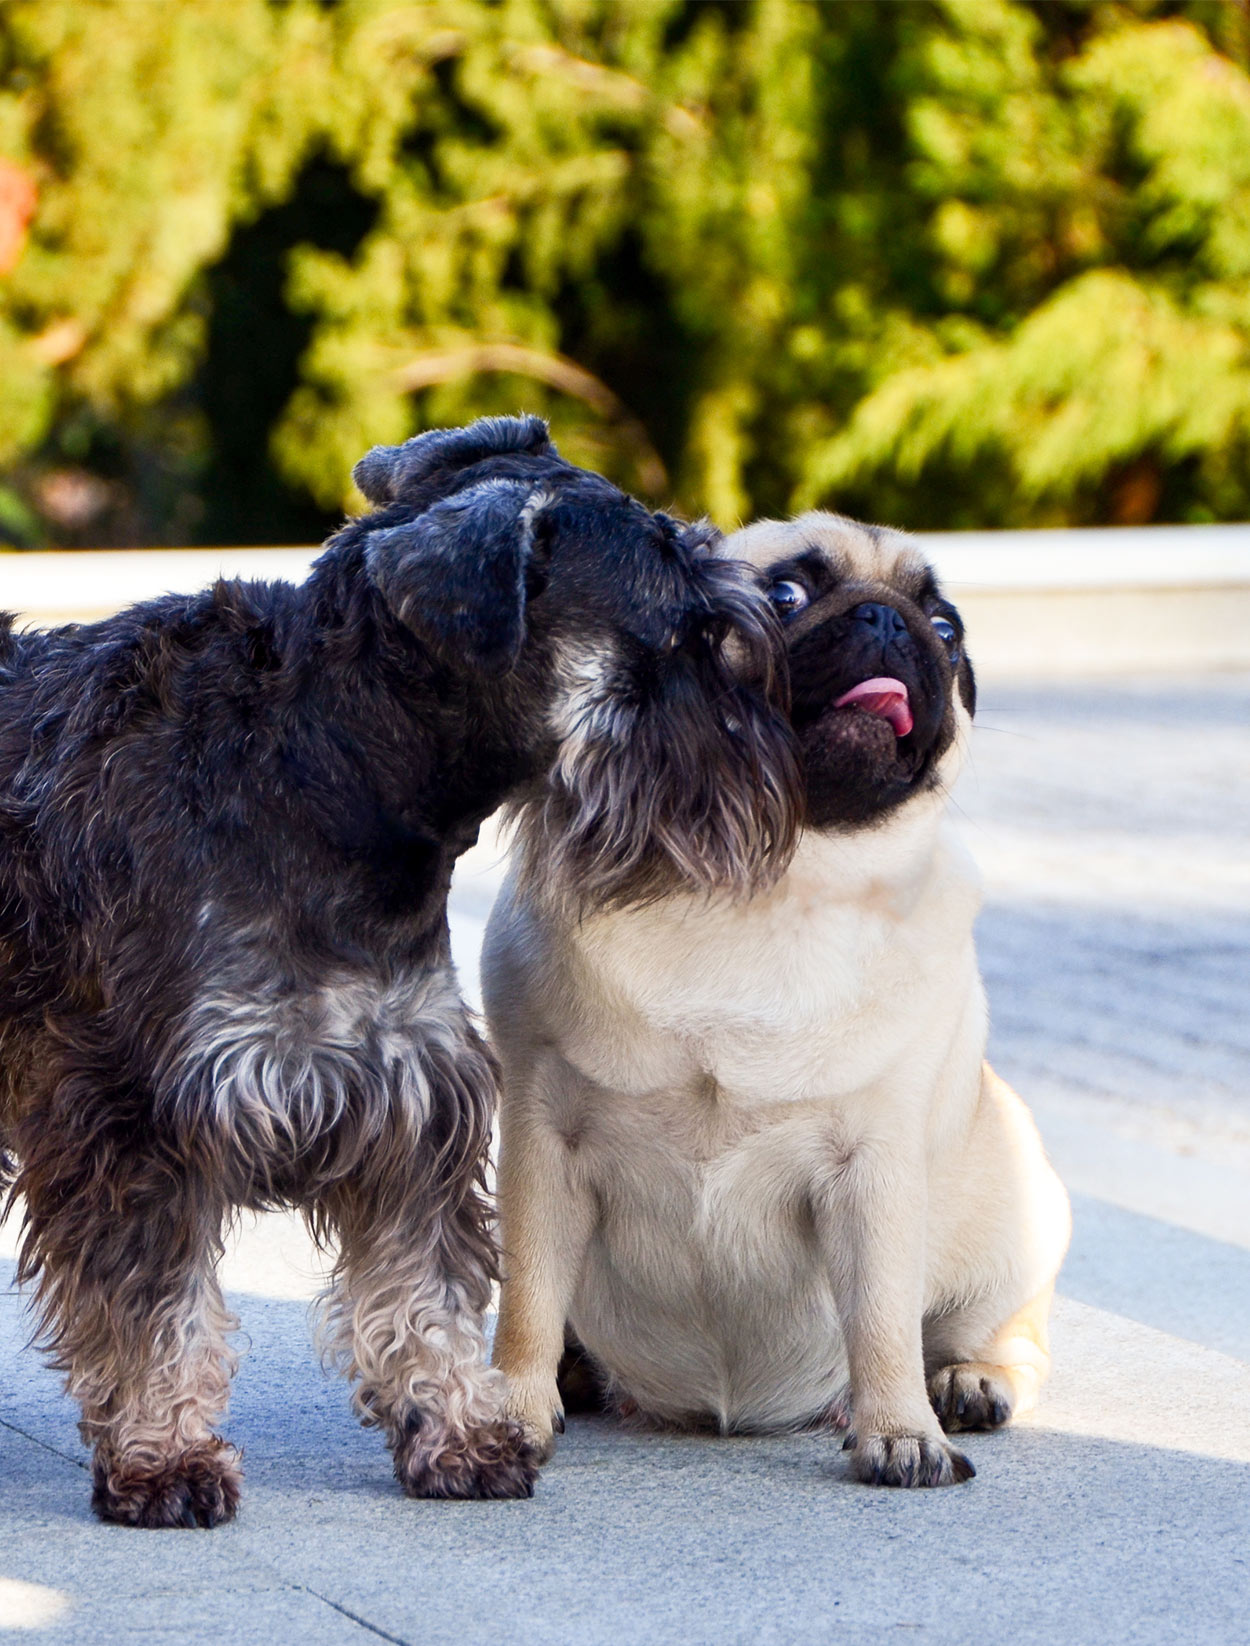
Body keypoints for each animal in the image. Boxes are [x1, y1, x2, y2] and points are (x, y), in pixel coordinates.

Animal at [0, 418, 800, 1520]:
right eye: (686, 627)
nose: (781, 758)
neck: (321, 771)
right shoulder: (138, 1117)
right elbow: (157, 1311)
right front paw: (164, 1456)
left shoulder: (411, 1104)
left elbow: (421, 1294)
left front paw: (460, 1435)